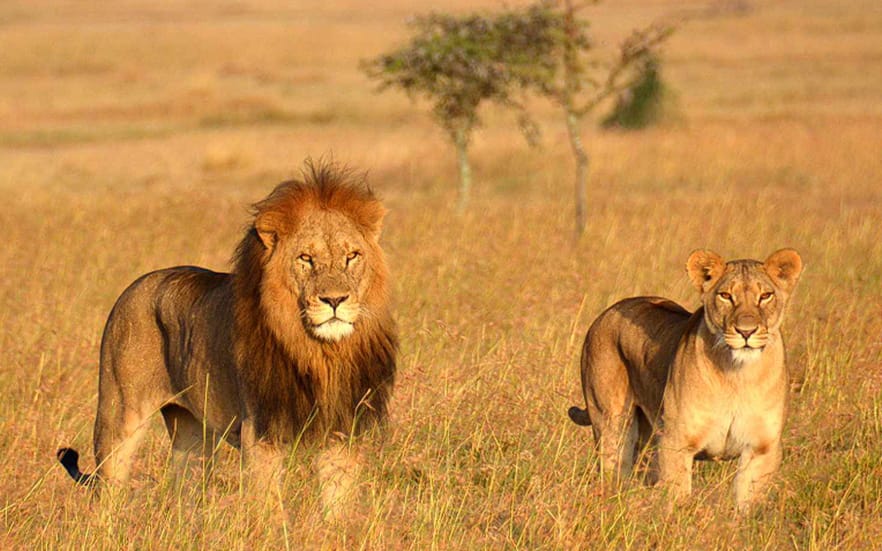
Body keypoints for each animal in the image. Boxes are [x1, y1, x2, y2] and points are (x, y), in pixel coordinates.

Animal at [57, 160, 397, 516]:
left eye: (352, 256)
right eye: (305, 258)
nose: (335, 300)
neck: (319, 353)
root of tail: (137, 284)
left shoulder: (343, 429)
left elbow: (338, 502)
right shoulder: (259, 431)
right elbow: (268, 506)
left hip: (192, 434)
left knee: (186, 486)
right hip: (118, 414)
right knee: (107, 487)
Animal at [568, 249, 803, 510]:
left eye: (765, 296)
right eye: (725, 296)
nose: (746, 331)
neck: (738, 375)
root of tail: (608, 311)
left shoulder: (762, 448)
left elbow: (747, 504)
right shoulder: (676, 442)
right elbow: (676, 497)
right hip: (612, 424)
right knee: (614, 470)